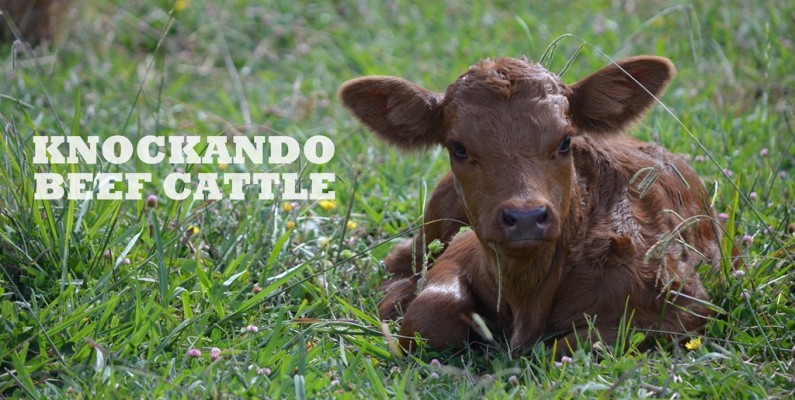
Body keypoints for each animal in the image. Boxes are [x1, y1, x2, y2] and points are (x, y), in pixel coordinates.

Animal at [339, 55, 719, 353]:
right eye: (458, 148)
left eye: (565, 141)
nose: (525, 217)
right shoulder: (462, 249)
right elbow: (428, 313)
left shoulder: (684, 303)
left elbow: (572, 345)